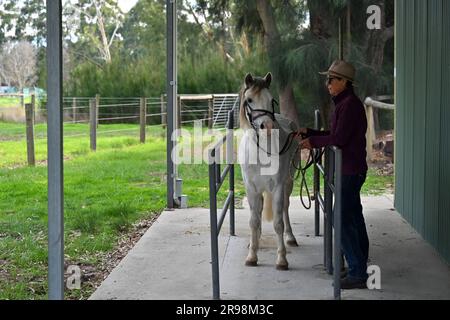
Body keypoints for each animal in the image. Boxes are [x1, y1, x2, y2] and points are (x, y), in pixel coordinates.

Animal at [237, 72, 300, 270]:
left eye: (271, 100)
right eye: (249, 99)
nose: (268, 127)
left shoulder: (278, 186)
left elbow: (278, 223)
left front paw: (282, 260)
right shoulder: (251, 188)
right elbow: (253, 221)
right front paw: (252, 255)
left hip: (288, 183)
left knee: (285, 209)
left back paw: (290, 238)